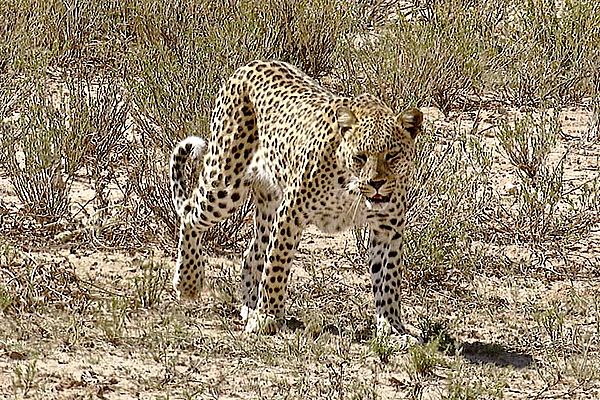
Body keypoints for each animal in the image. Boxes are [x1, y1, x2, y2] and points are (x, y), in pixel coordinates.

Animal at [169, 60, 422, 340]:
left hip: (267, 202)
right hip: (224, 184)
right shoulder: (291, 212)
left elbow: (388, 279)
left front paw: (393, 328)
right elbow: (277, 265)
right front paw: (267, 317)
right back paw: (188, 282)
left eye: (392, 155)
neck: (352, 190)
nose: (376, 183)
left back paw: (249, 306)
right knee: (191, 216)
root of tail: (250, 64)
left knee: (252, 253)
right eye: (360, 157)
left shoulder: (388, 227)